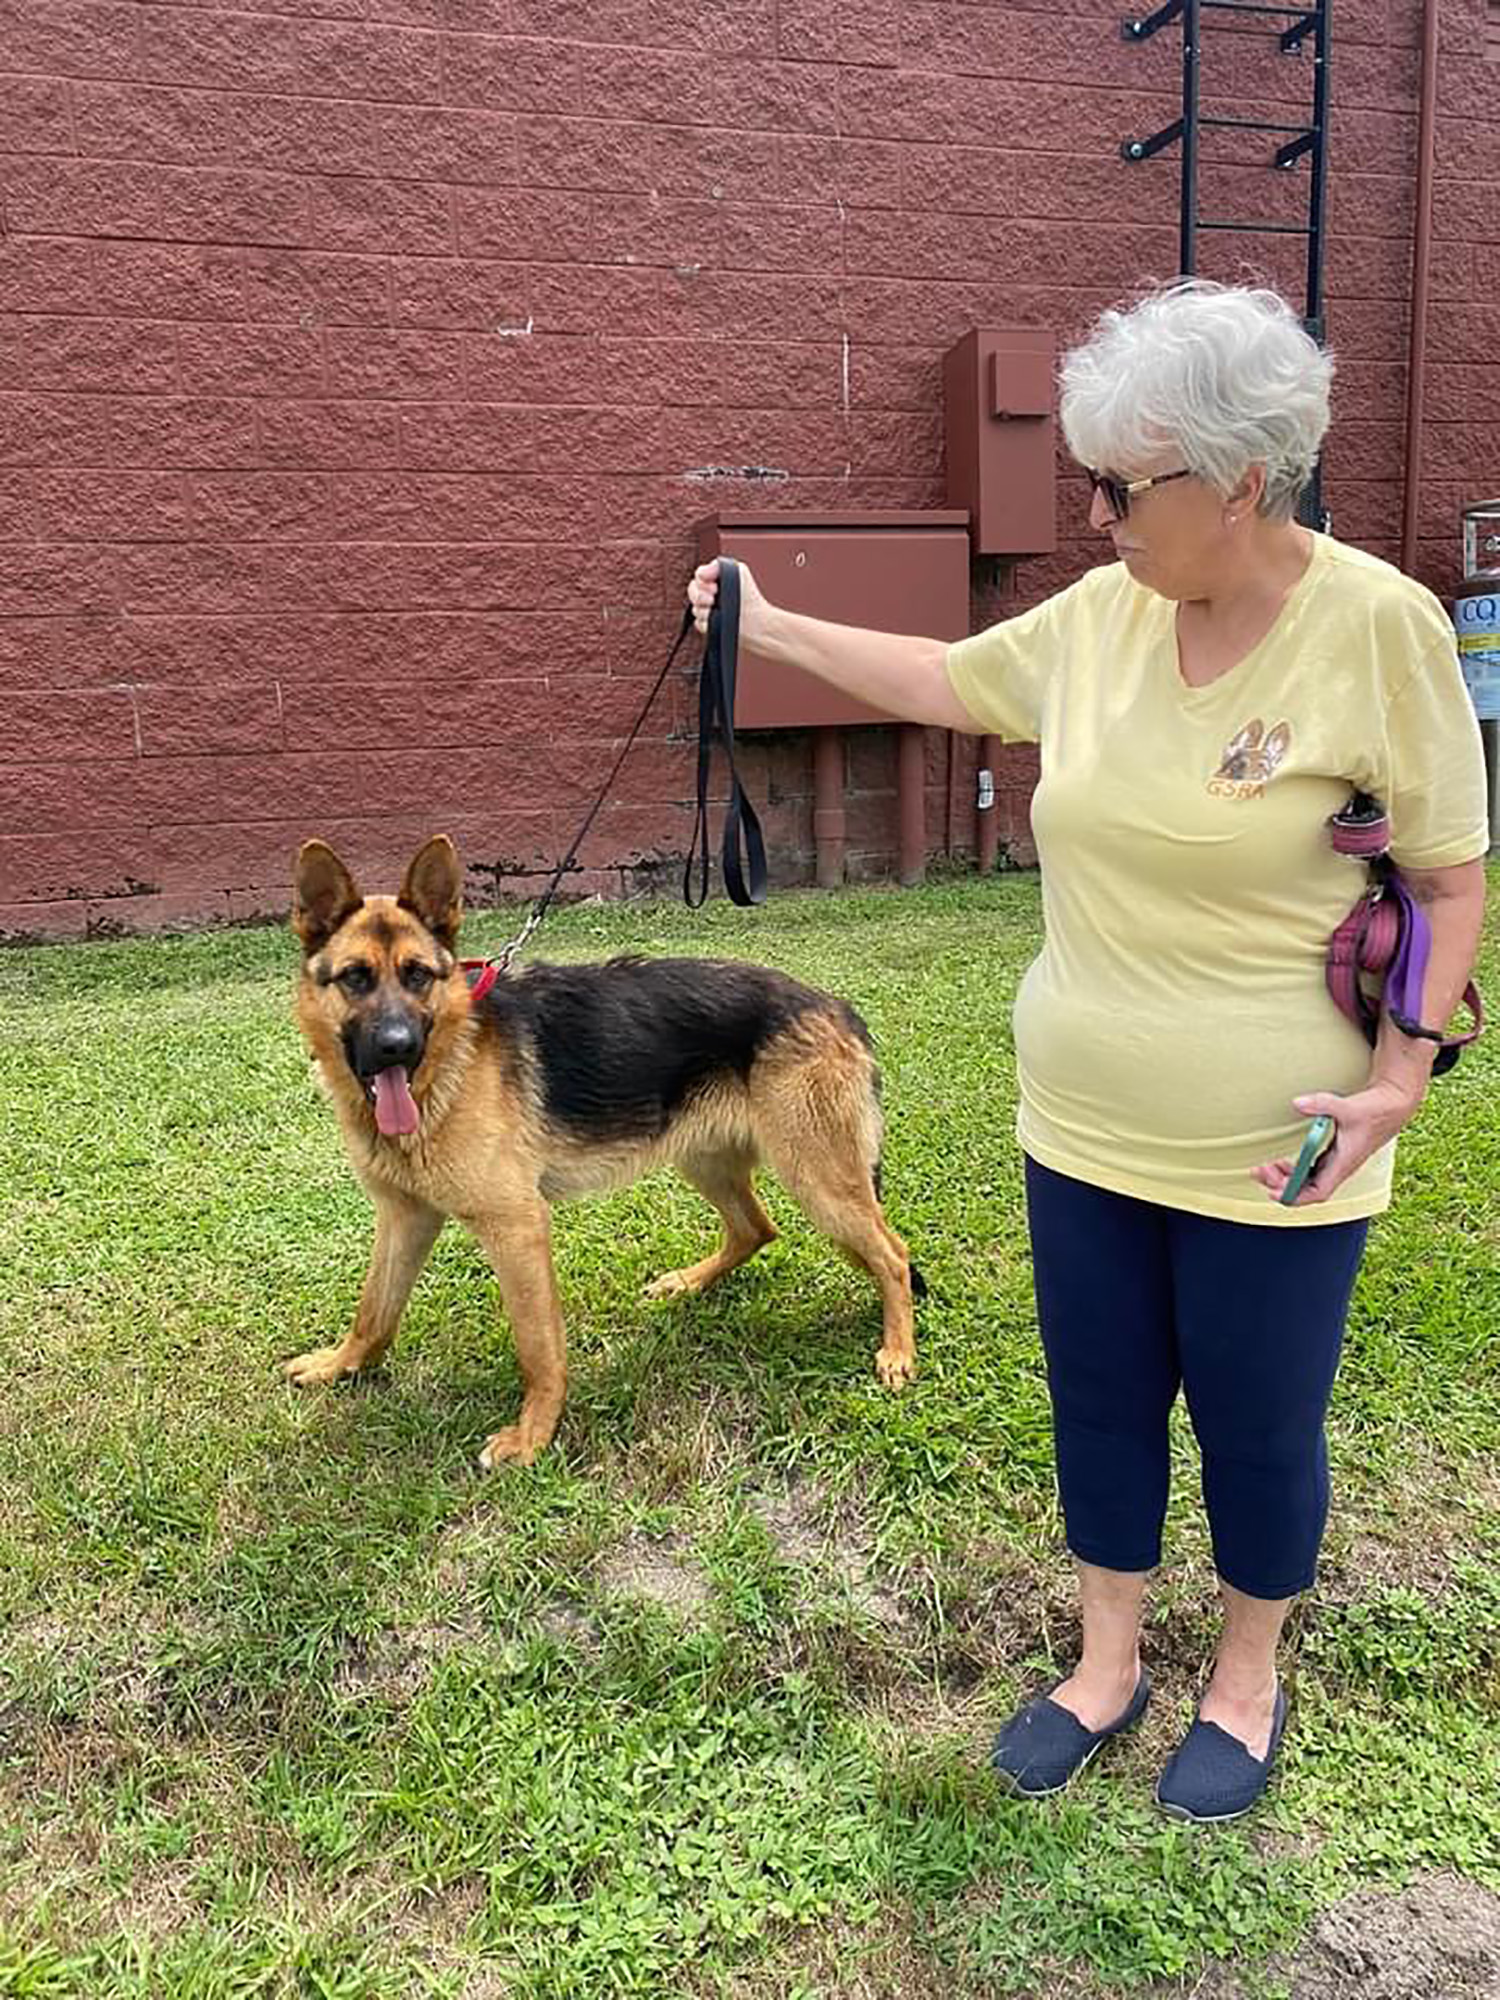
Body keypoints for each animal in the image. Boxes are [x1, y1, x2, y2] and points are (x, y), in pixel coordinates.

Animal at [288, 832, 924, 1472]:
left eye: (417, 975)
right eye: (355, 978)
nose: (396, 1047)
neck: (449, 1063)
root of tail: (835, 1007)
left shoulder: (517, 1227)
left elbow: (537, 1346)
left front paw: (533, 1435)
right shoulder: (406, 1217)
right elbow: (375, 1310)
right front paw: (342, 1365)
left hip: (818, 1182)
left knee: (892, 1255)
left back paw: (898, 1350)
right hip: (707, 1160)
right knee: (757, 1229)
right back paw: (688, 1283)